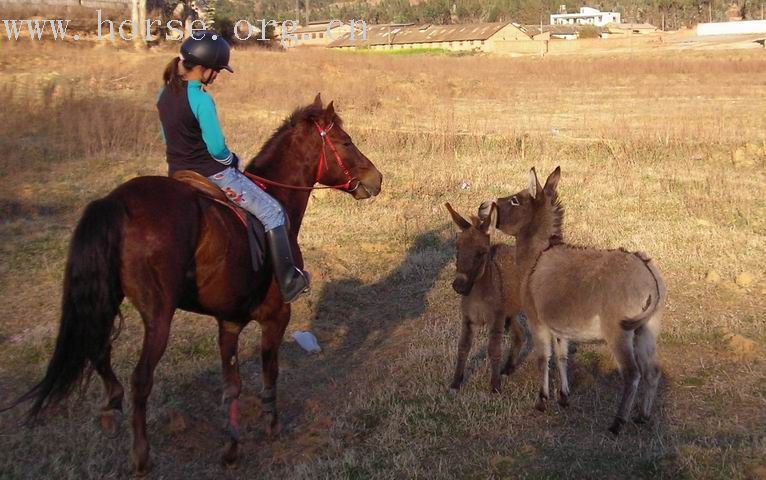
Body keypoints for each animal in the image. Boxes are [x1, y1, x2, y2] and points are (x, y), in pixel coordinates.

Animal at [6, 94, 384, 472]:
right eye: (346, 142)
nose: (376, 178)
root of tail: (114, 202)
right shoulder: (276, 317)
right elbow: (270, 371)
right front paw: (272, 424)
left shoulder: (229, 323)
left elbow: (231, 386)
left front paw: (232, 447)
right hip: (158, 315)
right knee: (140, 379)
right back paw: (141, 454)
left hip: (106, 299)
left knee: (98, 350)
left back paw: (112, 409)